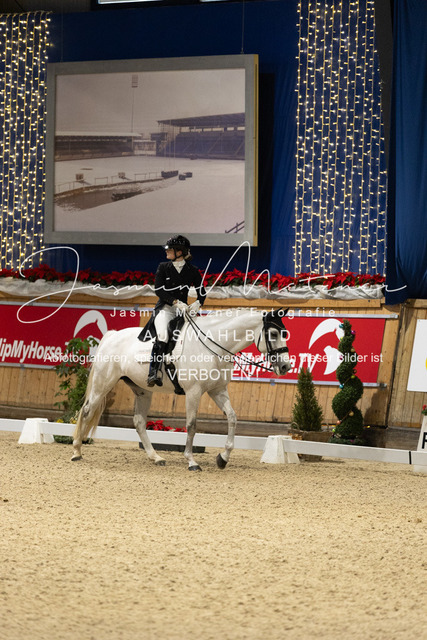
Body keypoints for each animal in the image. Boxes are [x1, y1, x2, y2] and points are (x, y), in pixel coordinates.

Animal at [71, 308, 292, 470]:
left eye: (284, 333)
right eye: (273, 333)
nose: (285, 367)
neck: (214, 344)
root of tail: (112, 335)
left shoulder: (217, 390)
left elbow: (232, 418)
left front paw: (223, 458)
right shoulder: (194, 392)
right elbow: (192, 425)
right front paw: (192, 461)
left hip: (142, 390)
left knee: (139, 422)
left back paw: (156, 457)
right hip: (103, 383)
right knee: (87, 410)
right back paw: (76, 451)